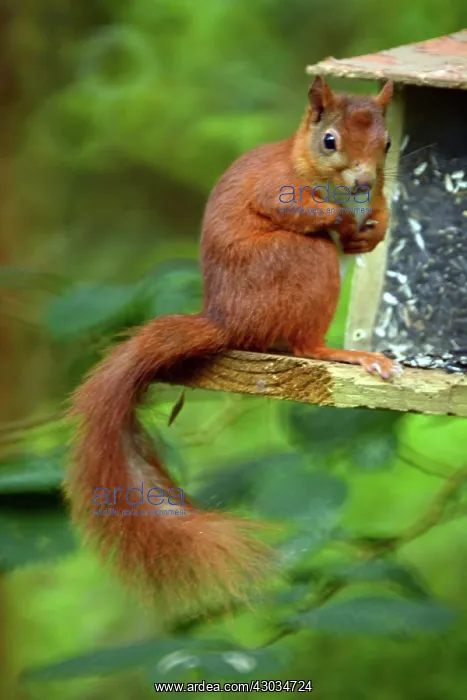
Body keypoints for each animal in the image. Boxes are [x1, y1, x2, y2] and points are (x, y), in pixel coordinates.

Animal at [68, 76, 401, 607]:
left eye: (388, 143)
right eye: (329, 141)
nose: (365, 183)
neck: (303, 159)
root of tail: (227, 321)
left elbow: (378, 217)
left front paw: (377, 227)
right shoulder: (274, 184)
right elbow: (288, 205)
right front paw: (342, 219)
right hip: (301, 261)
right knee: (305, 342)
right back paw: (346, 352)